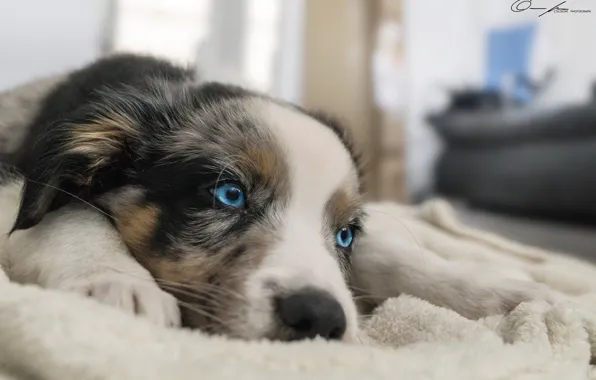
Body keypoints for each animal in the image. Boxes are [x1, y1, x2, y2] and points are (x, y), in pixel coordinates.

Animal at [0, 53, 560, 342]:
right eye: (228, 194)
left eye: (344, 233)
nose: (320, 320)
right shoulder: (15, 184)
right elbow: (75, 219)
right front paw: (116, 284)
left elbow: (393, 256)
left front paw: (506, 293)